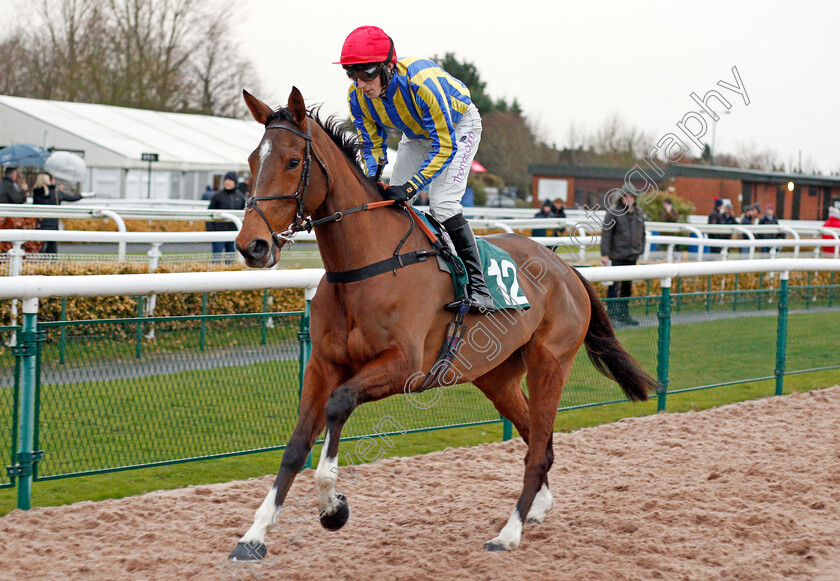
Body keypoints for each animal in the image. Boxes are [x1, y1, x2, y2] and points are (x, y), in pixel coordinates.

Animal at [230, 87, 656, 556]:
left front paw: (332, 506)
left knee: (537, 448)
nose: (252, 245)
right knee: (537, 441)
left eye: (292, 162)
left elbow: (338, 404)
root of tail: (565, 269)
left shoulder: (405, 366)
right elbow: (295, 446)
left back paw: (508, 533)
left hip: (550, 364)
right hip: (497, 376)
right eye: (252, 160)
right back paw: (537, 509)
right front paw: (253, 536)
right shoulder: (322, 364)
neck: (364, 266)